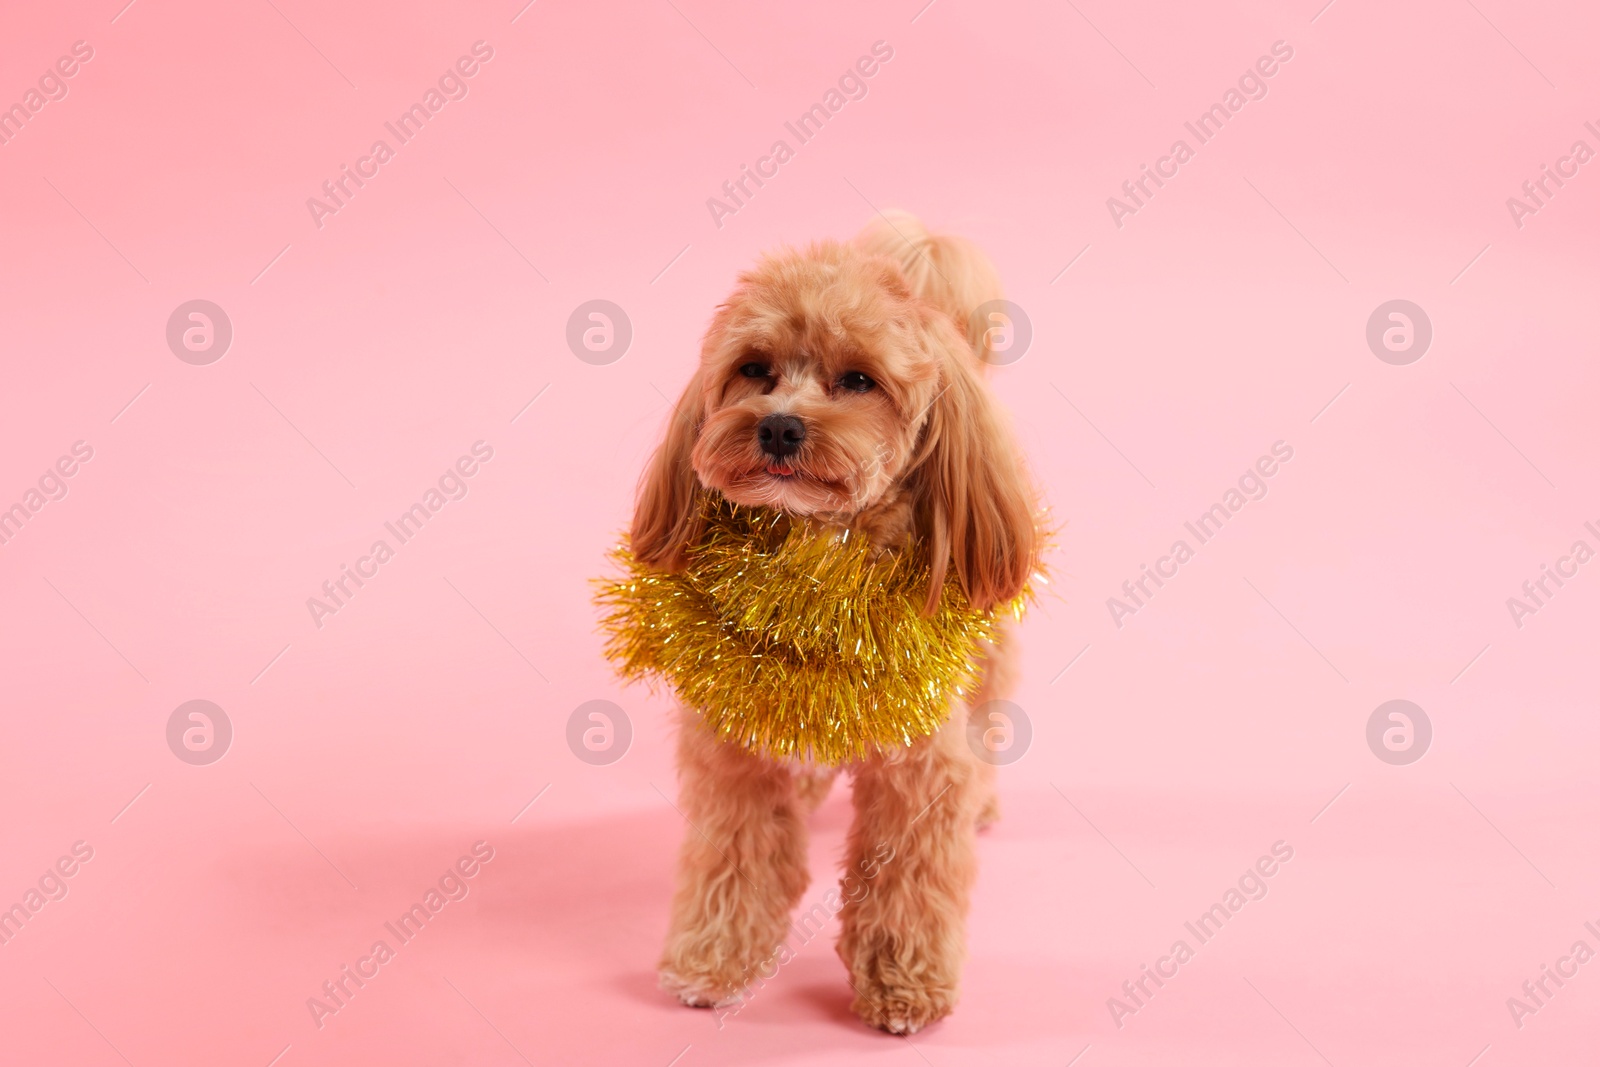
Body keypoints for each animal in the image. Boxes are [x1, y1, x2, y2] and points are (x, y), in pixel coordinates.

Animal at [624, 211, 1036, 1036]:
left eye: (859, 380)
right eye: (755, 369)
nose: (780, 427)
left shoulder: (920, 767)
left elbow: (907, 878)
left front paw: (904, 982)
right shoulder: (731, 755)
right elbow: (734, 858)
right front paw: (714, 957)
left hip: (988, 651)